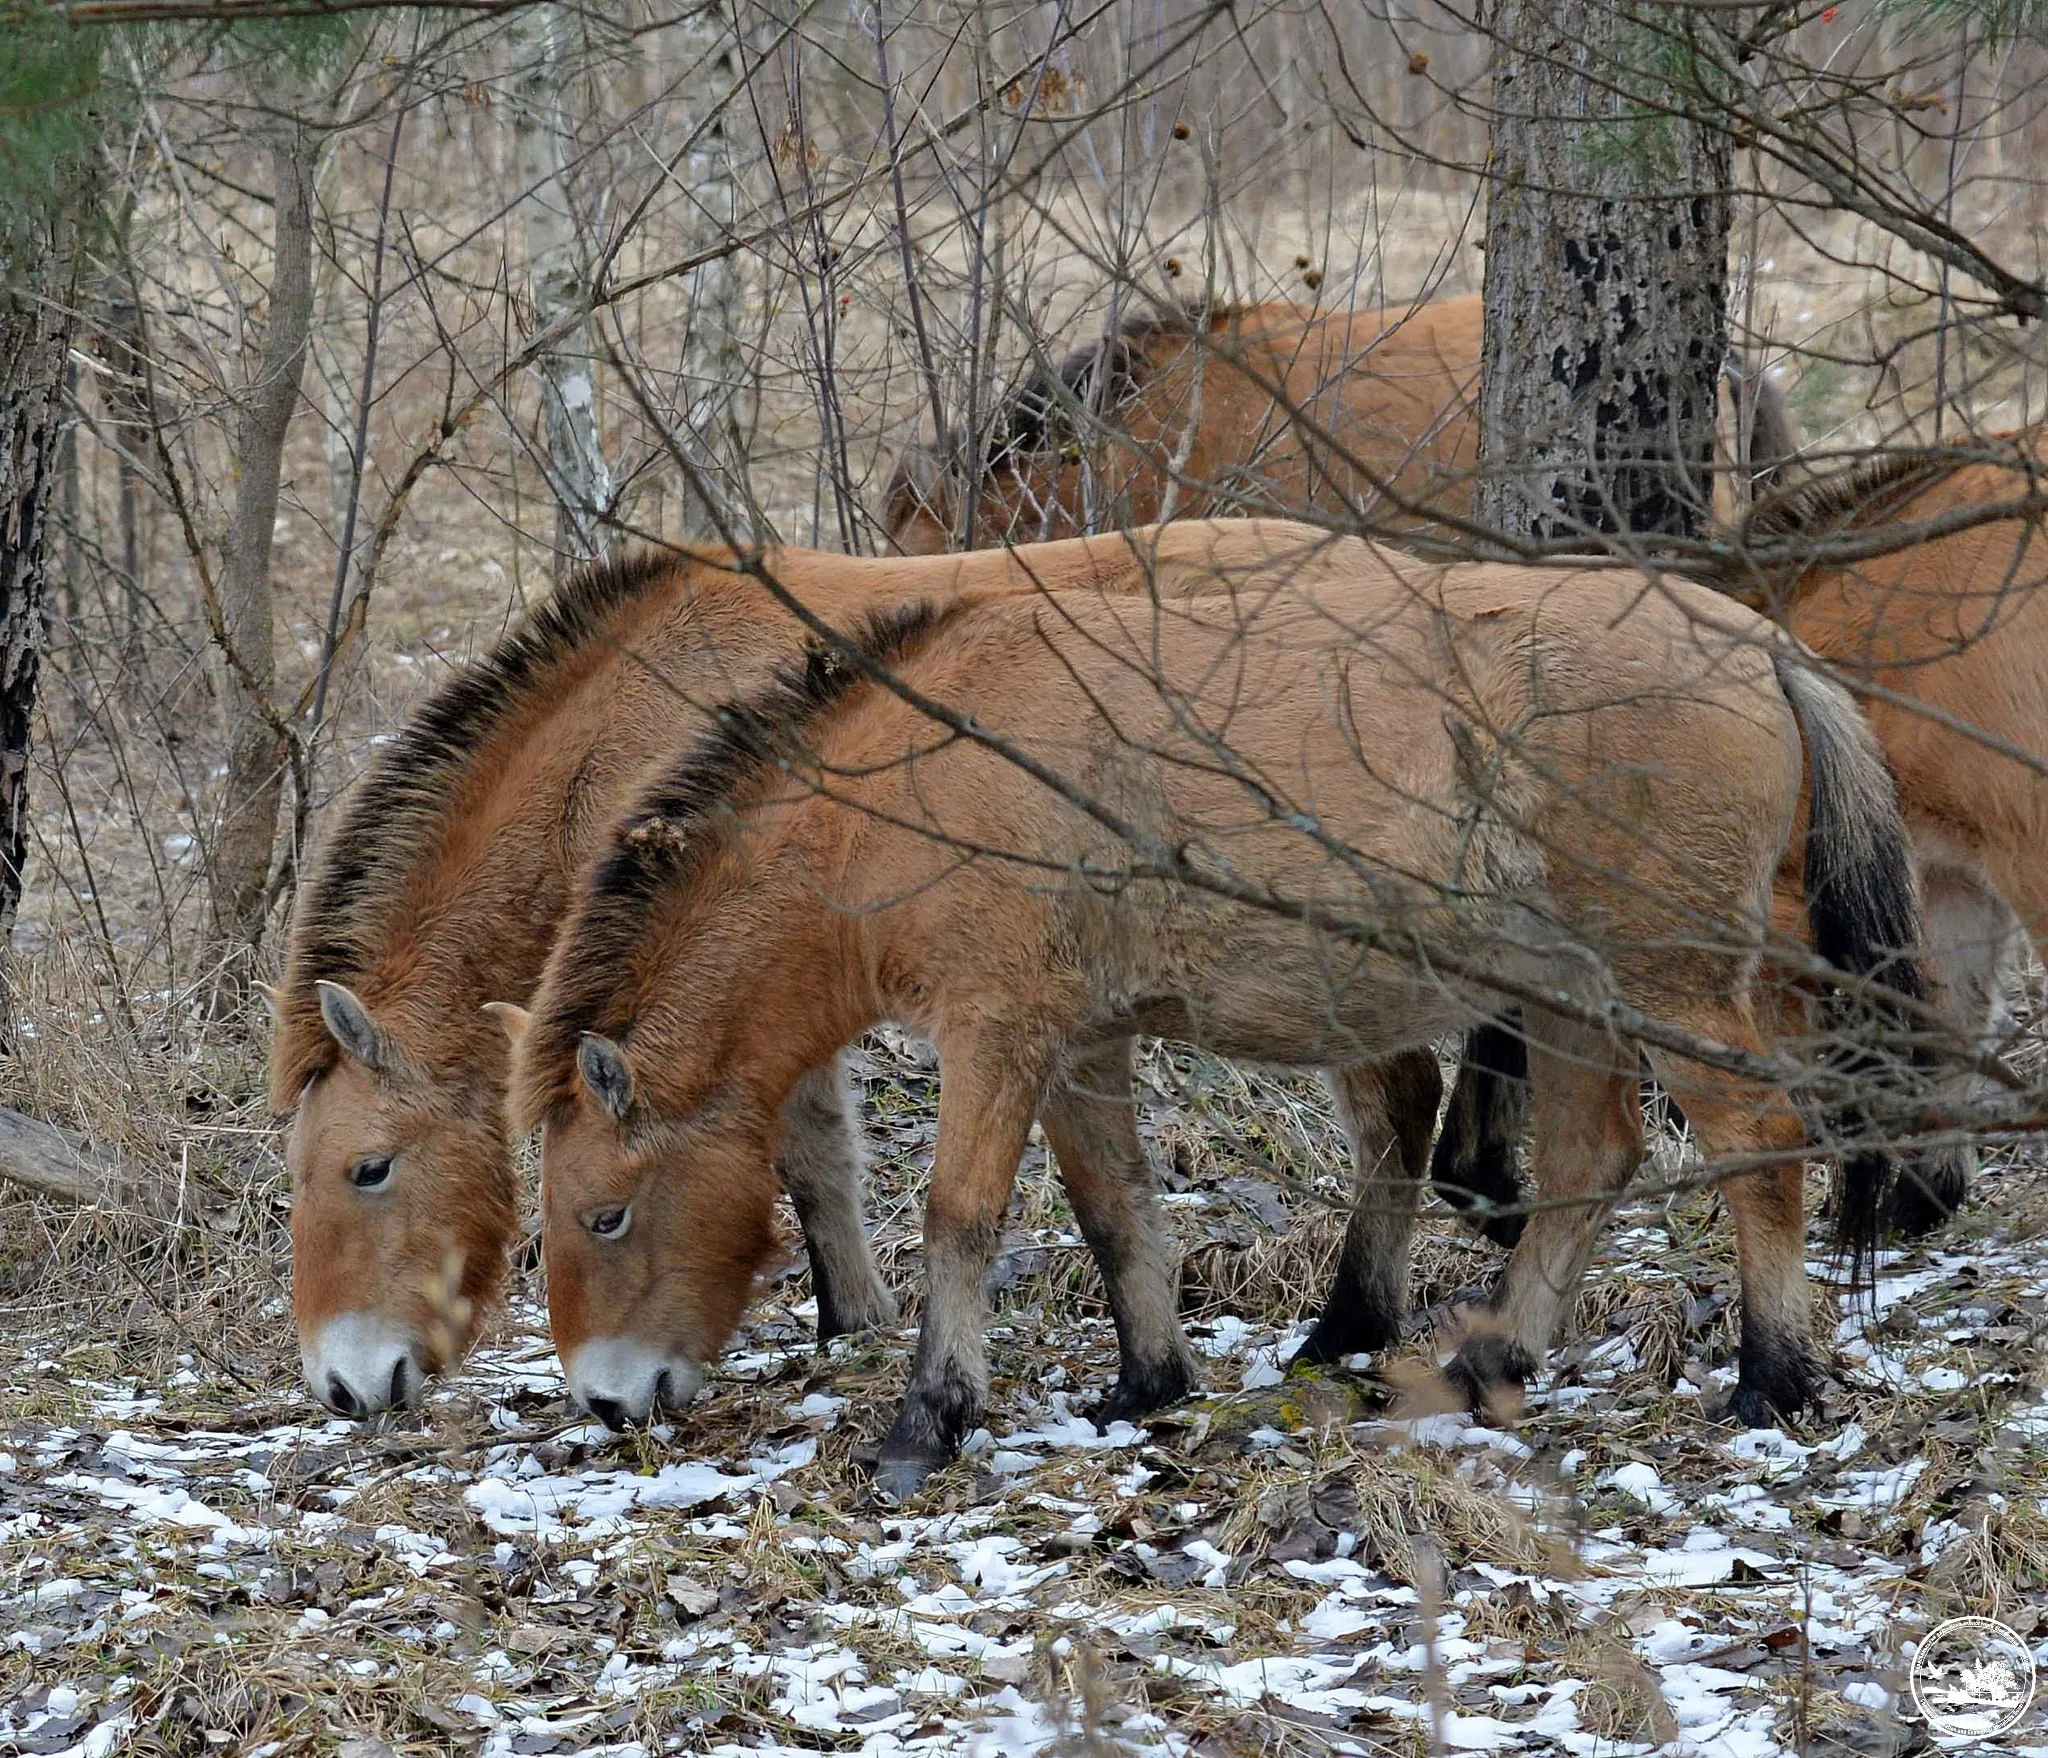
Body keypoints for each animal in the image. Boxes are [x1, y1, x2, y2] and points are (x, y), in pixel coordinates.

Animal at [512, 536, 1916, 1491]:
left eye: (605, 1215)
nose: (605, 1402)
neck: (909, 784)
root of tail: (1761, 646)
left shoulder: (997, 1036)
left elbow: (960, 1219)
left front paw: (927, 1419)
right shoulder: (1080, 1044)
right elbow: (1112, 1207)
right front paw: (1147, 1385)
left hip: (1665, 982)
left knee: (1756, 1139)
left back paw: (1772, 1378)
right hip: (1569, 991)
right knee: (1588, 1160)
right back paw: (1487, 1364)